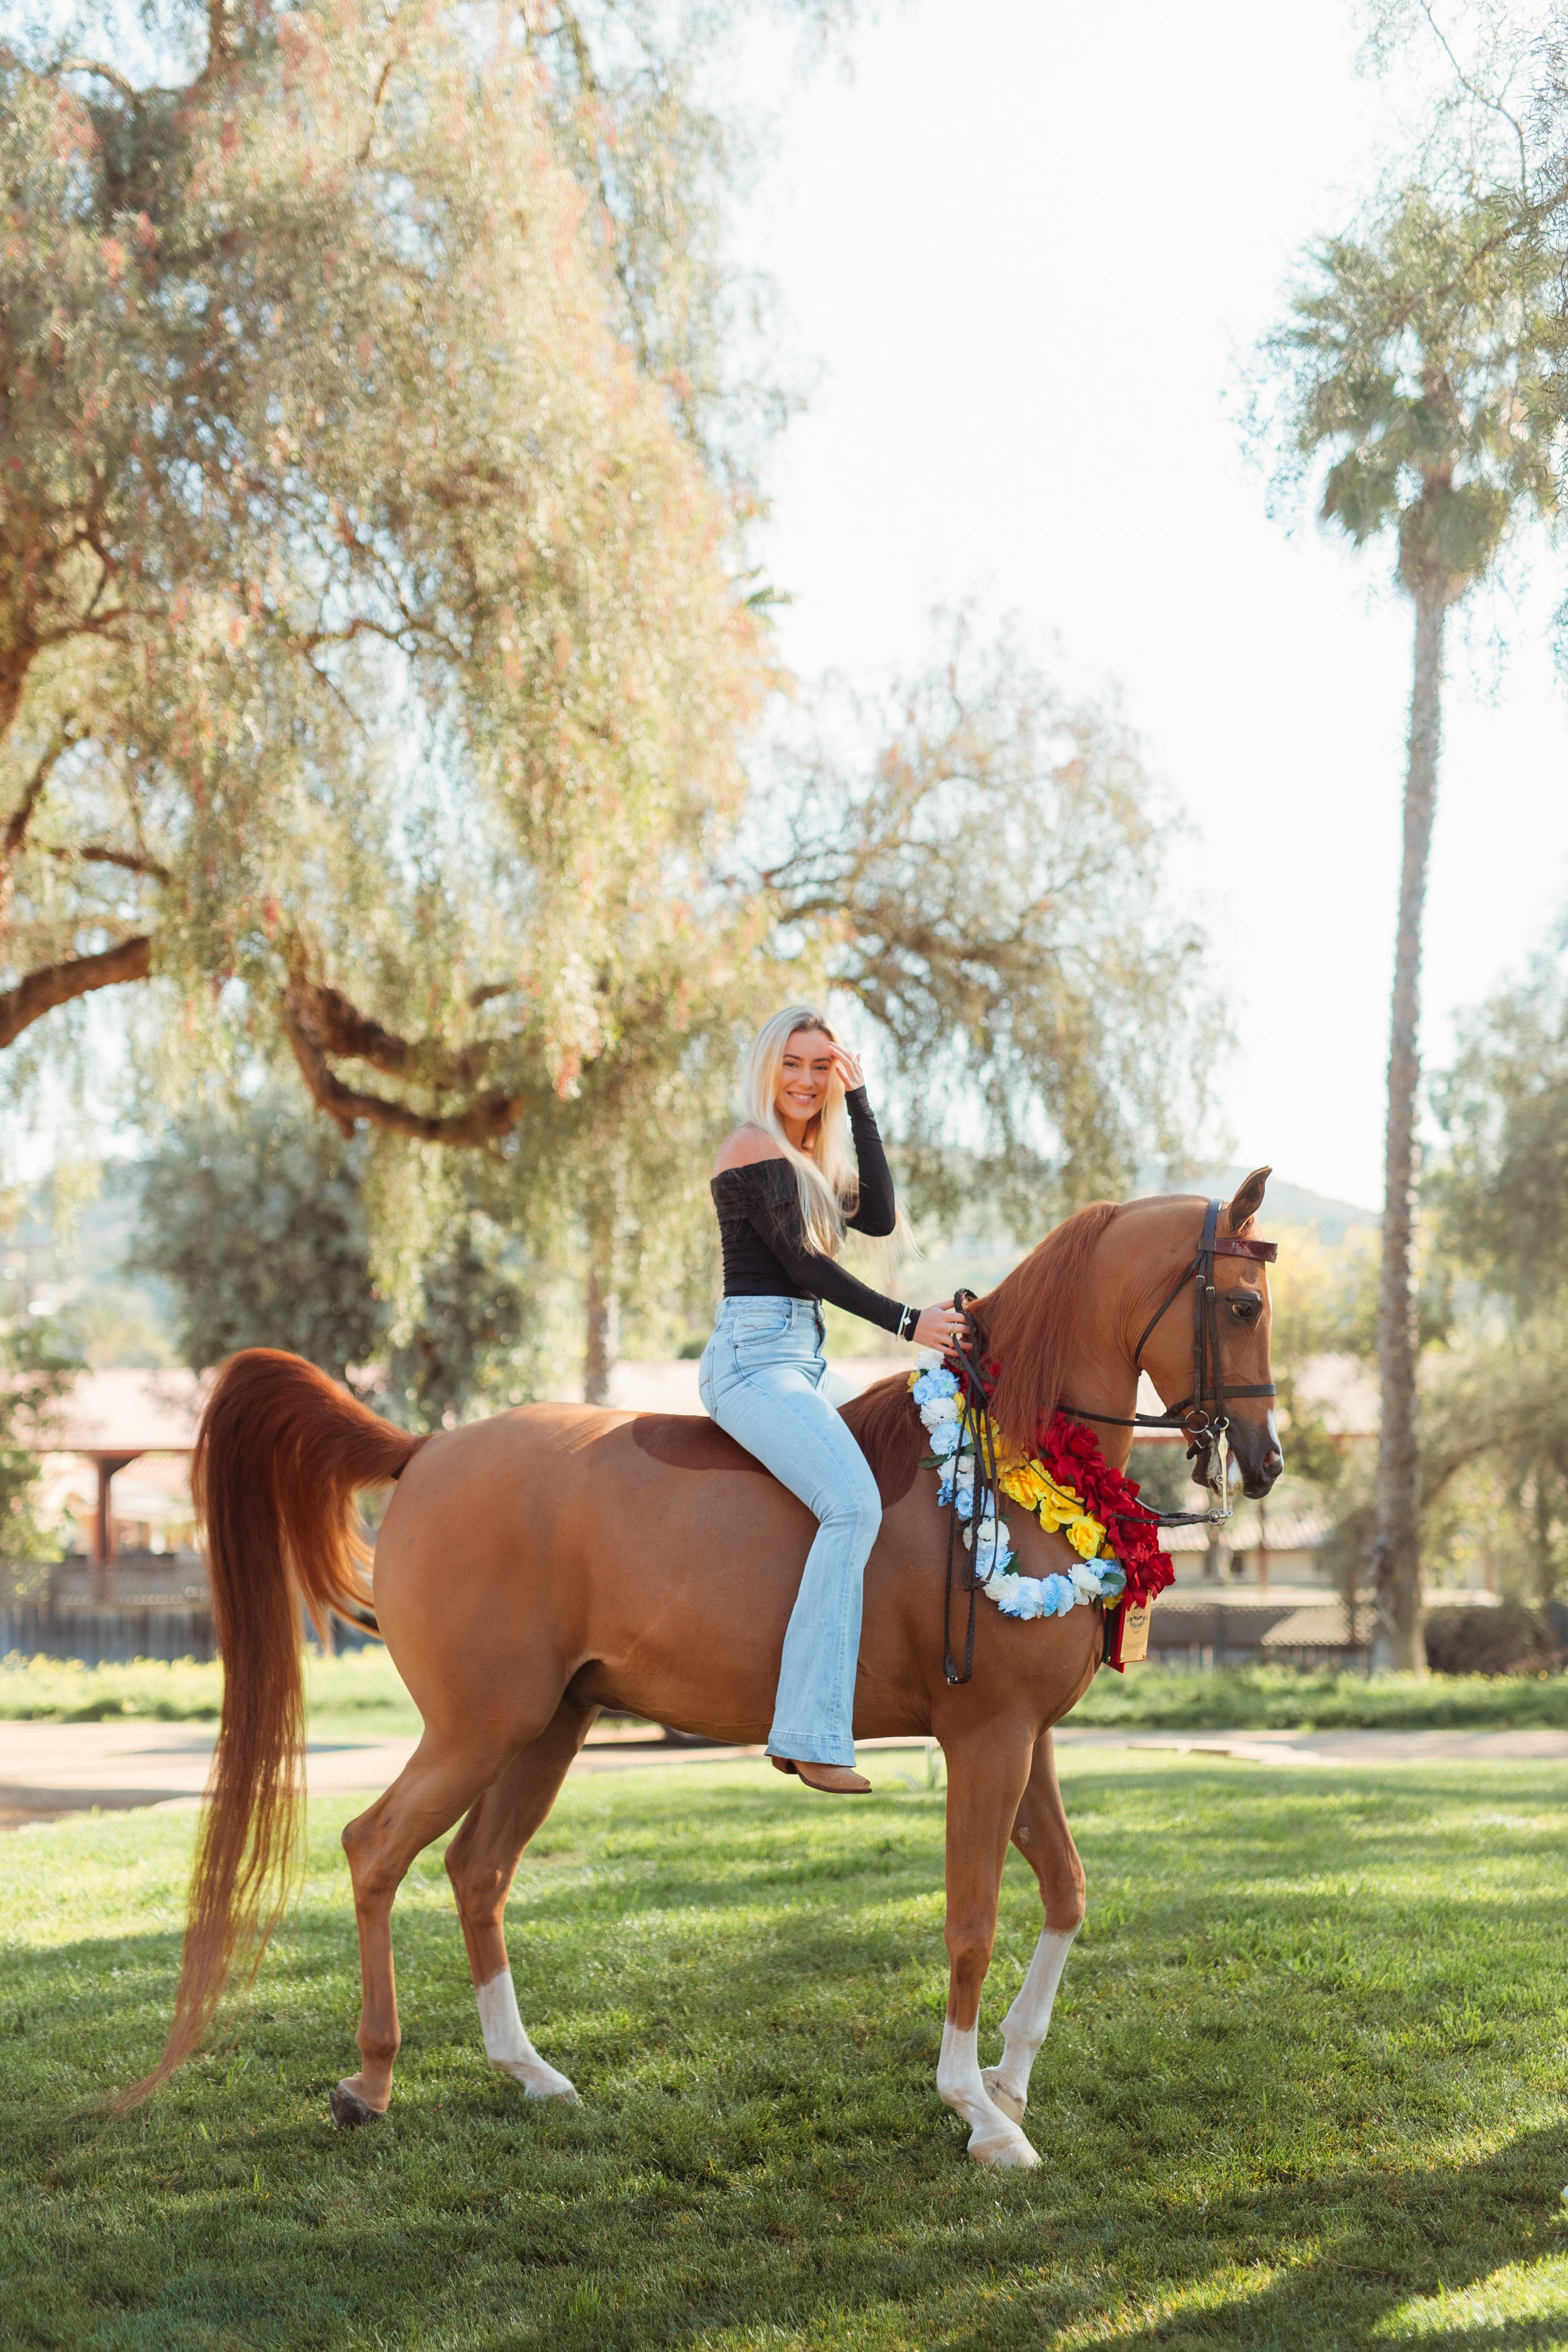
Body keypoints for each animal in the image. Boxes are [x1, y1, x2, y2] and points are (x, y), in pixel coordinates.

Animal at [131, 1170, 1281, 2170]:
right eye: (1239, 1303)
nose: (1267, 1460)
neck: (1008, 1461)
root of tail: (427, 1450)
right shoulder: (984, 1739)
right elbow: (972, 1918)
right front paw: (979, 2114)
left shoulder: (1027, 1737)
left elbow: (1067, 1894)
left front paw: (1008, 2078)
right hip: (477, 1728)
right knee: (376, 1850)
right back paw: (370, 2081)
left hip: (548, 1727)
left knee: (478, 1870)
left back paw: (528, 2071)